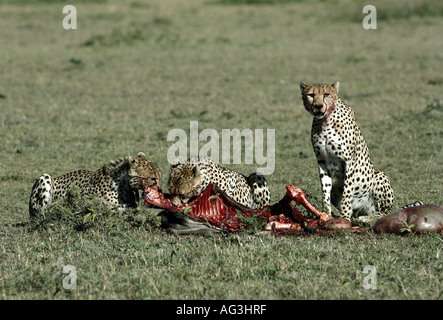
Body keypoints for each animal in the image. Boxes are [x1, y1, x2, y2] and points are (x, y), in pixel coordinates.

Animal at [302, 80, 396, 221]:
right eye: (311, 95)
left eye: (326, 94)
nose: (318, 106)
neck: (325, 122)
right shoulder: (321, 161)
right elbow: (325, 191)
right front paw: (326, 215)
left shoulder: (349, 161)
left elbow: (347, 192)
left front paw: (344, 217)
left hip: (378, 176)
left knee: (383, 213)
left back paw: (365, 219)